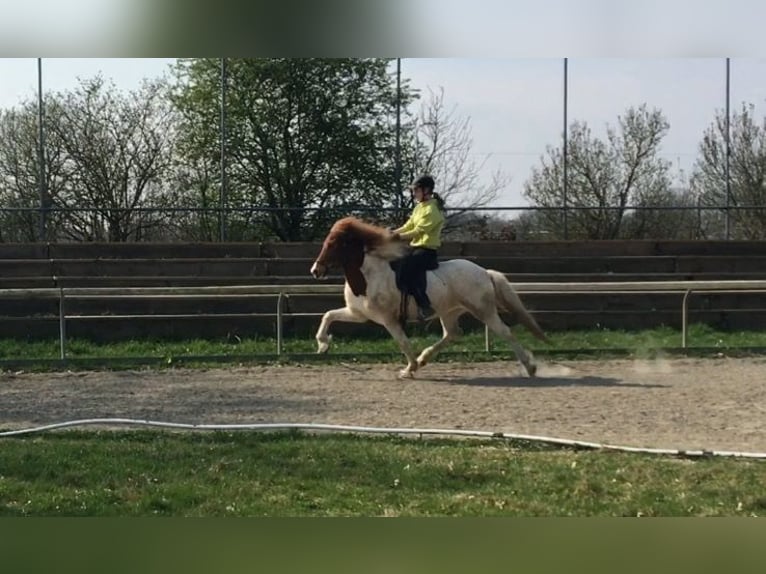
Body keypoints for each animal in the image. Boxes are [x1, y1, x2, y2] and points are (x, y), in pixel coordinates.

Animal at [308, 216, 548, 378]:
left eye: (333, 244)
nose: (315, 270)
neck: (369, 275)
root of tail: (484, 272)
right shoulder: (357, 313)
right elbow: (328, 315)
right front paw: (323, 344)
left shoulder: (388, 319)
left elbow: (403, 342)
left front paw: (408, 369)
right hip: (449, 311)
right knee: (452, 333)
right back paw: (424, 358)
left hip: (484, 311)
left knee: (505, 332)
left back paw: (530, 367)